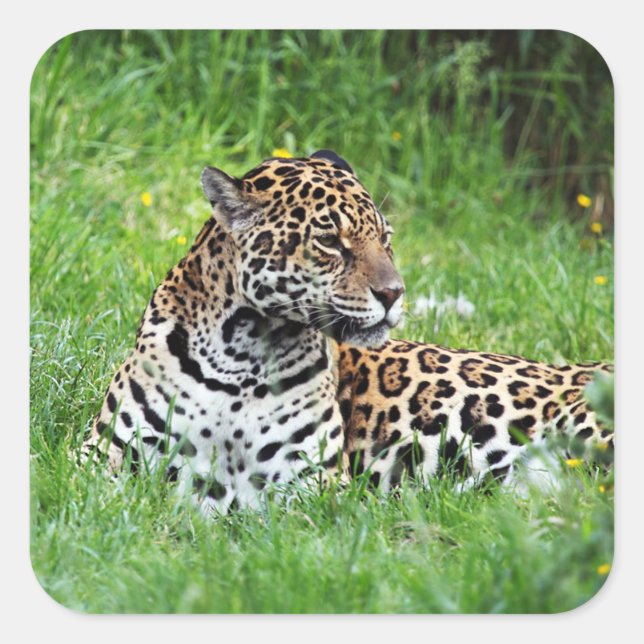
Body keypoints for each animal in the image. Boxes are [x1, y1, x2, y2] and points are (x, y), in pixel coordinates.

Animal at [83, 150, 613, 512]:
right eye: (329, 241)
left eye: (386, 238)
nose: (395, 293)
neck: (242, 353)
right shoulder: (104, 456)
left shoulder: (309, 485)